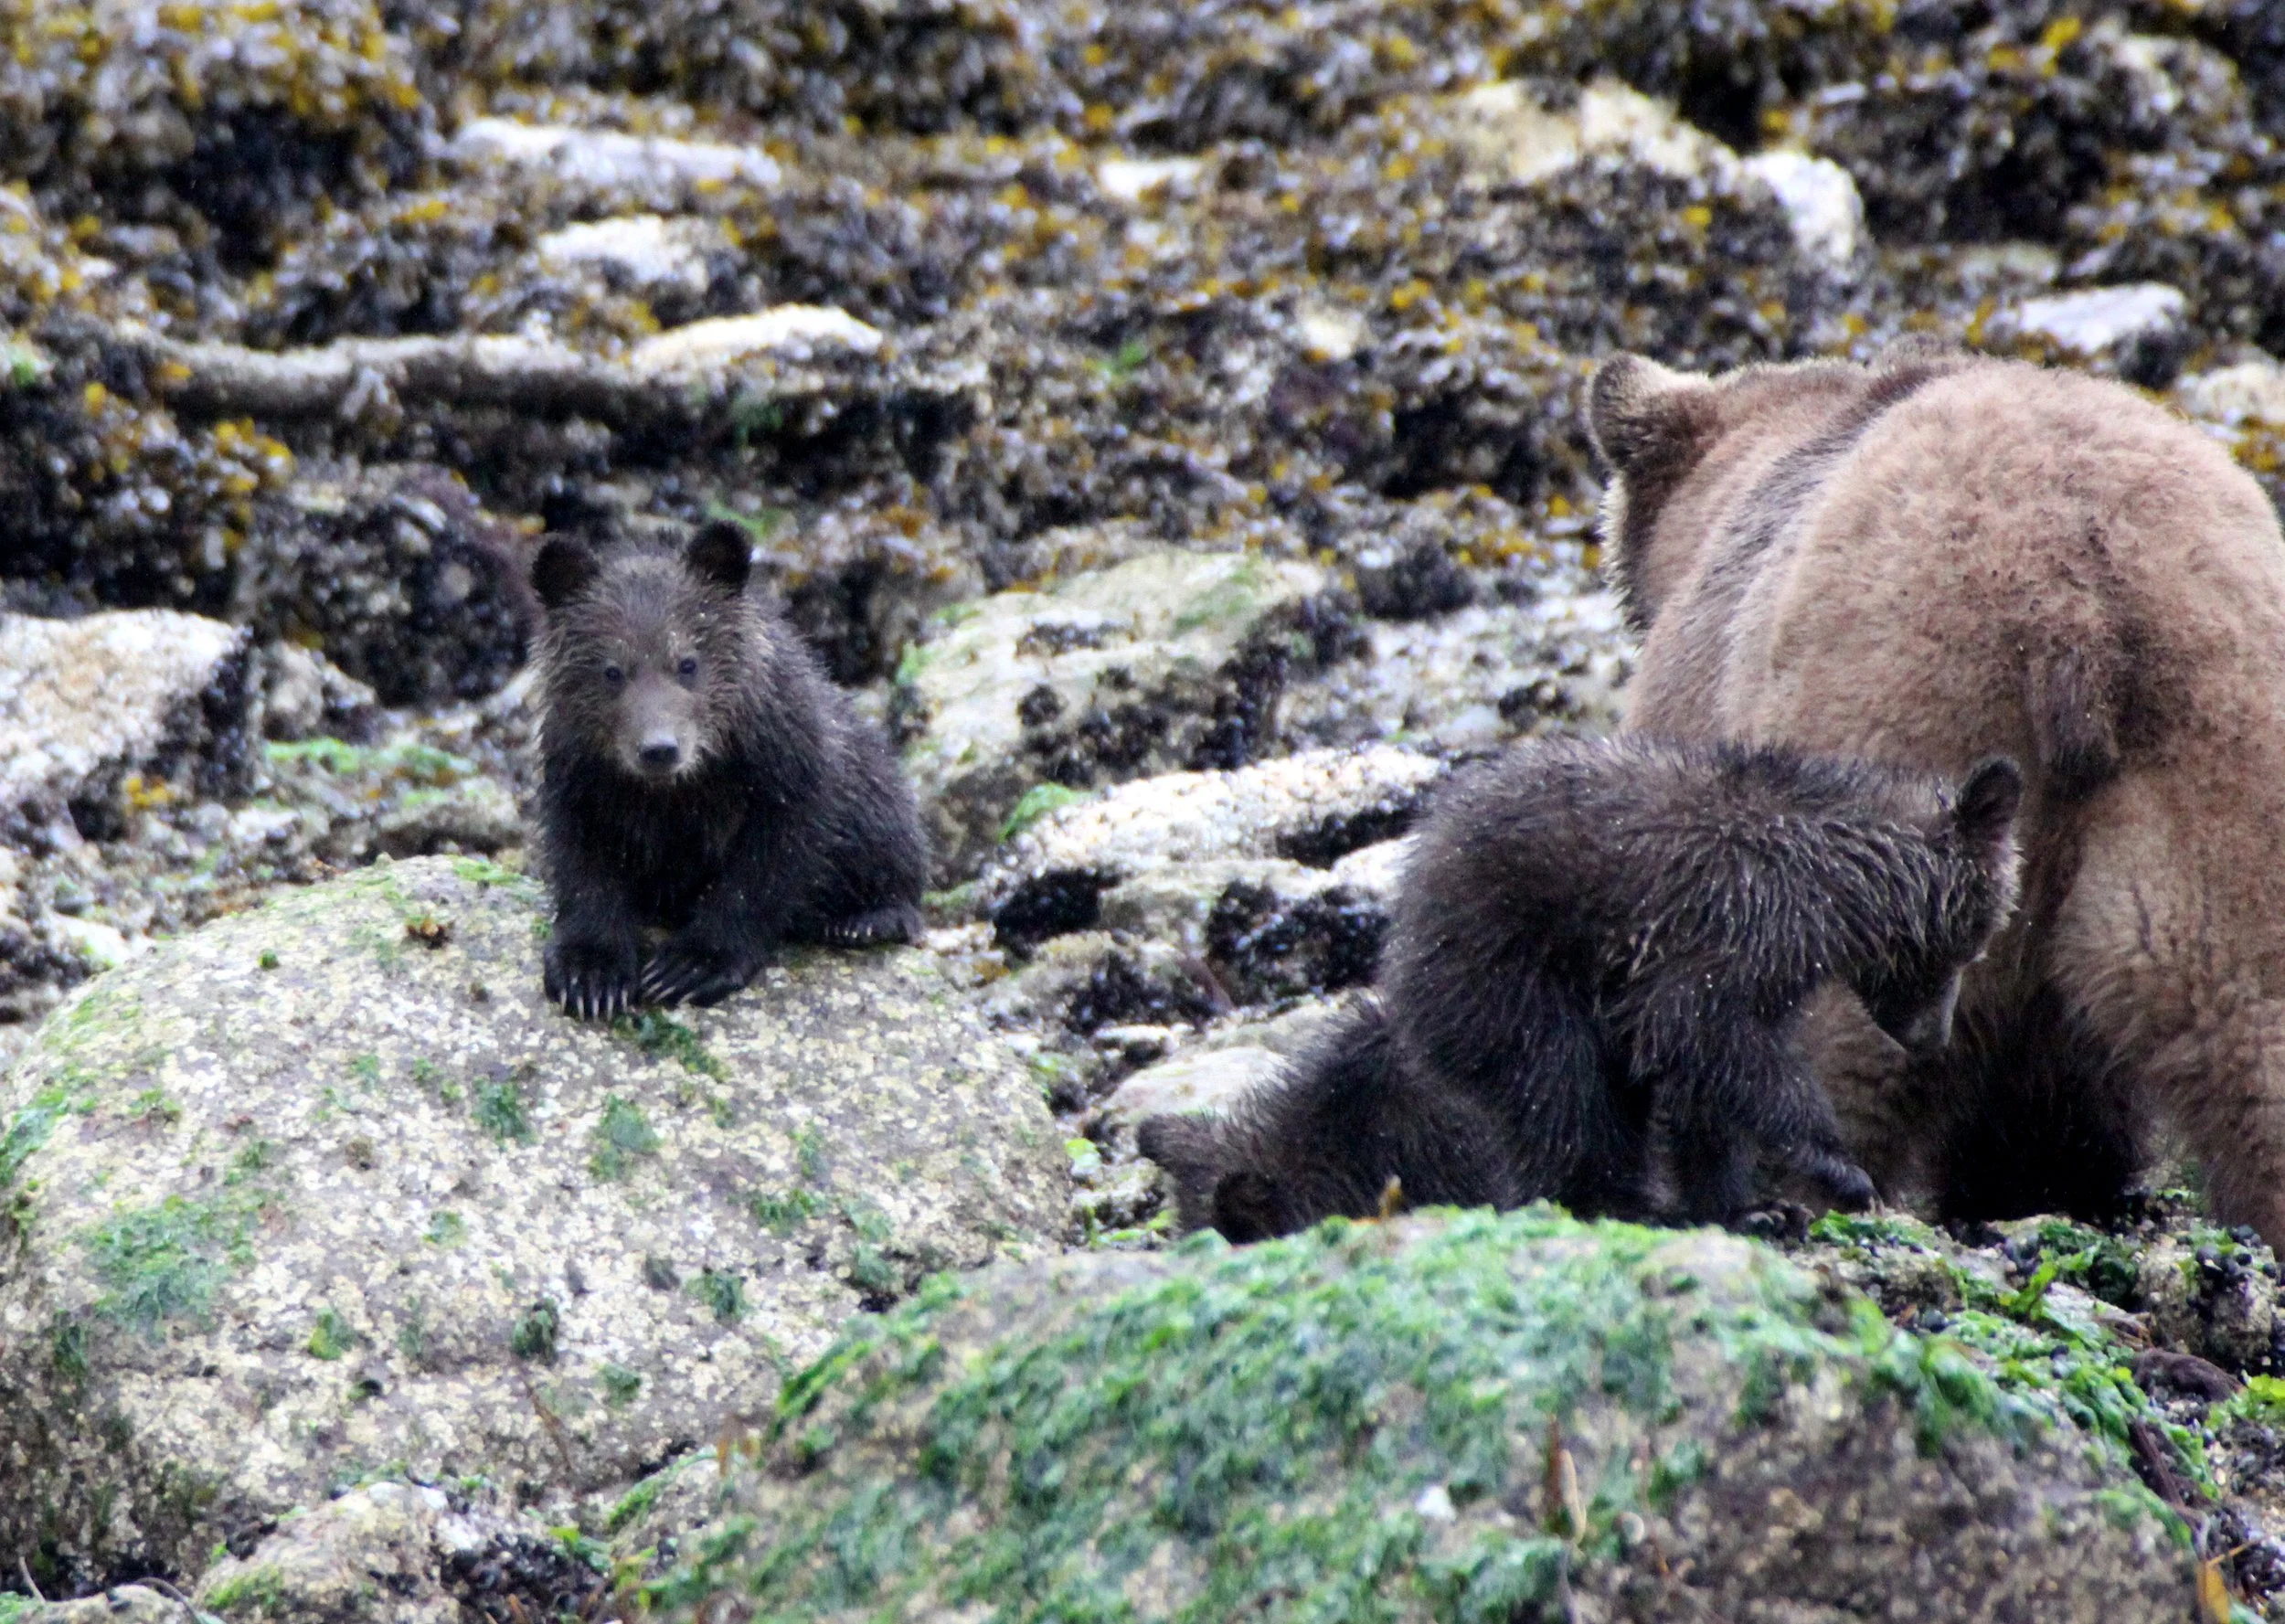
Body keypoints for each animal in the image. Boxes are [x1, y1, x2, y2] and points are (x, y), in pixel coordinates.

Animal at [530, 519, 928, 1019]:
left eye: (688, 662)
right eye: (611, 670)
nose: (659, 749)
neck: (680, 791)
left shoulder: (786, 766)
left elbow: (770, 864)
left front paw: (690, 966)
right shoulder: (581, 773)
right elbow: (583, 858)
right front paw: (590, 973)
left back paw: (866, 919)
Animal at [1140, 734, 2024, 1240]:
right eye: (1972, 940)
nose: (1932, 1035)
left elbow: (1706, 1074)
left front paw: (1749, 1202)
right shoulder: (1736, 922)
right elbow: (1703, 1036)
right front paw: (1831, 1164)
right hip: (1509, 974)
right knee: (1559, 1086)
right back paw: (1614, 1199)